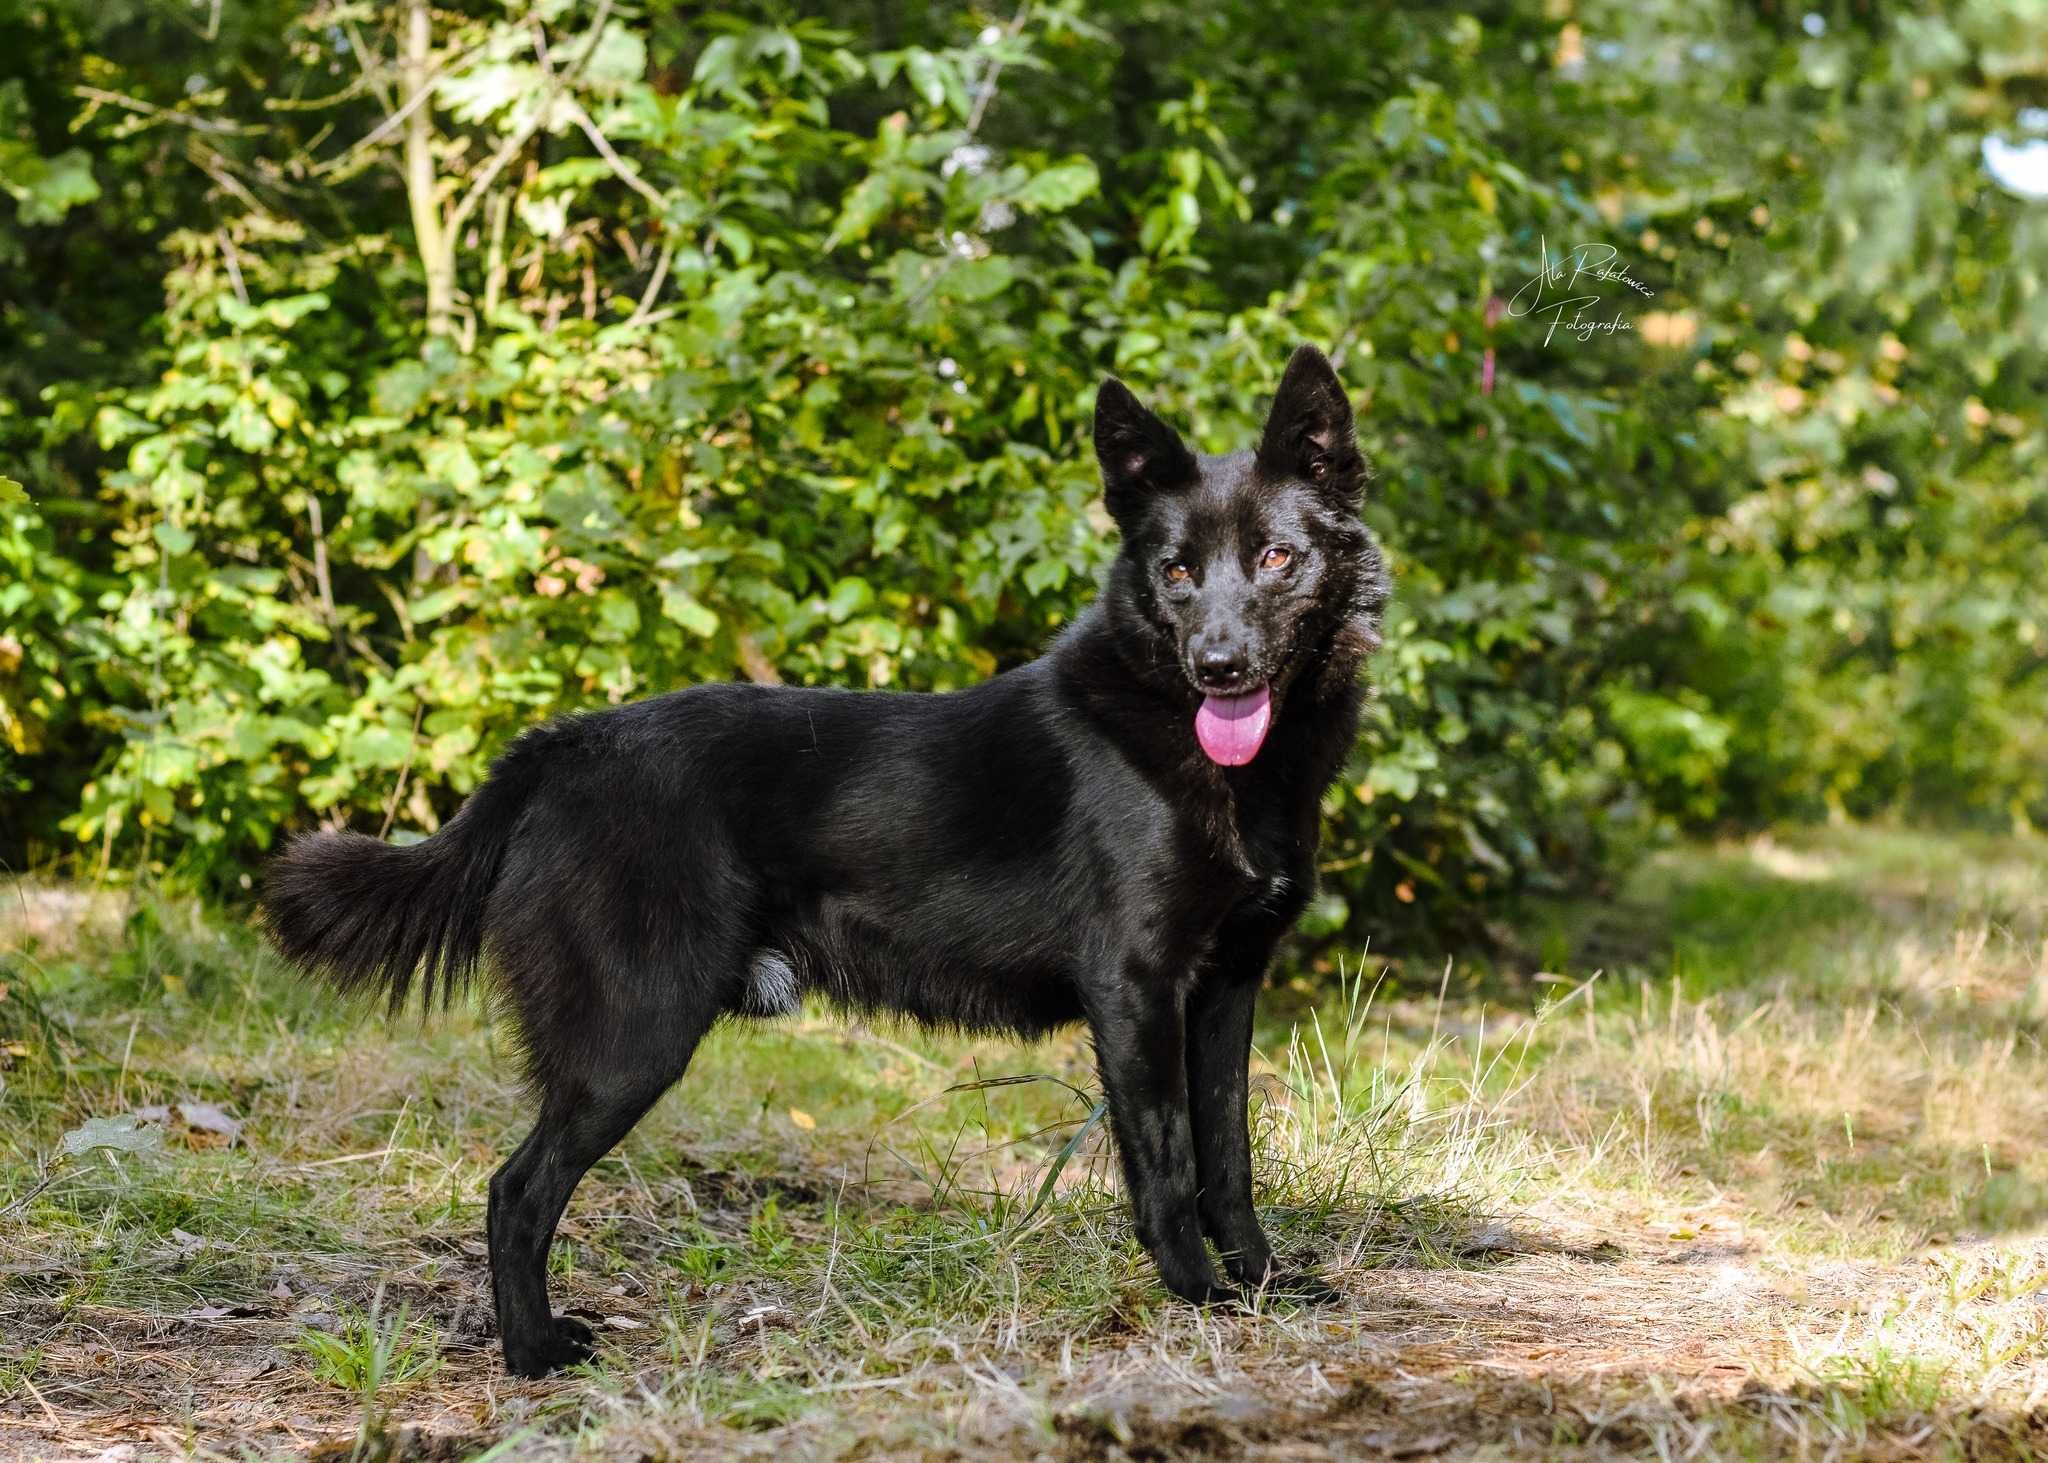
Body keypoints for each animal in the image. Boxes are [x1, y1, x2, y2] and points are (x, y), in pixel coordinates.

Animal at [264, 348, 1392, 1376]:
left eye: (1278, 559)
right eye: (1175, 571)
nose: (1219, 667)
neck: (1224, 759)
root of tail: (561, 744)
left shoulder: (1225, 990)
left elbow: (1228, 1156)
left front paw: (1262, 1281)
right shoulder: (1135, 986)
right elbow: (1163, 1160)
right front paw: (1198, 1295)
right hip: (635, 1031)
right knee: (515, 1189)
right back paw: (536, 1352)